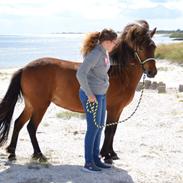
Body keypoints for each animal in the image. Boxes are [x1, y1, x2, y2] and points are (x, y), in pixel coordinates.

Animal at [0, 21, 157, 163]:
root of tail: (24, 68)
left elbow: (113, 130)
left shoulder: (118, 110)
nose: (152, 72)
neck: (120, 75)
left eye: (154, 47)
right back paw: (39, 155)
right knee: (31, 127)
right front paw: (107, 156)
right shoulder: (113, 109)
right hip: (40, 106)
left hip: (30, 105)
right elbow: (109, 131)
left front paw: (112, 153)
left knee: (18, 123)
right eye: (141, 47)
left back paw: (12, 153)